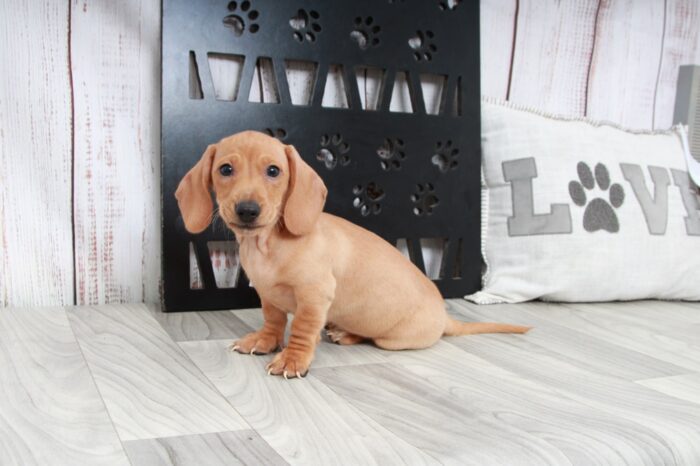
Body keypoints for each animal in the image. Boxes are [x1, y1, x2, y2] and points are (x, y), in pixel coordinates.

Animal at [176, 130, 532, 378]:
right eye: (225, 169)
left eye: (274, 171)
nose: (247, 210)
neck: (267, 244)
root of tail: (445, 319)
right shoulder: (268, 295)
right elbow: (274, 321)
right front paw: (264, 341)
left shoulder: (315, 296)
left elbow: (302, 329)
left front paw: (293, 358)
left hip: (392, 340)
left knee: (372, 338)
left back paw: (347, 334)